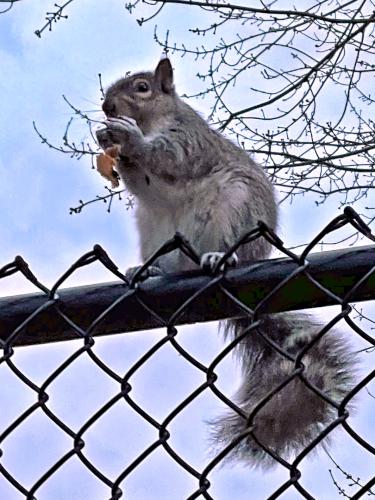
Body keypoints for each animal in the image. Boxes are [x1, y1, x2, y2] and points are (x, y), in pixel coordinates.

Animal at [97, 57, 356, 468]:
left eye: (142, 88)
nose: (107, 107)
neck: (155, 120)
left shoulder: (188, 140)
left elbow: (167, 159)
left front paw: (127, 138)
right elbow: (141, 180)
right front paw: (105, 140)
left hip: (236, 206)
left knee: (225, 250)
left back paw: (221, 257)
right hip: (153, 229)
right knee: (173, 266)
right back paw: (149, 269)